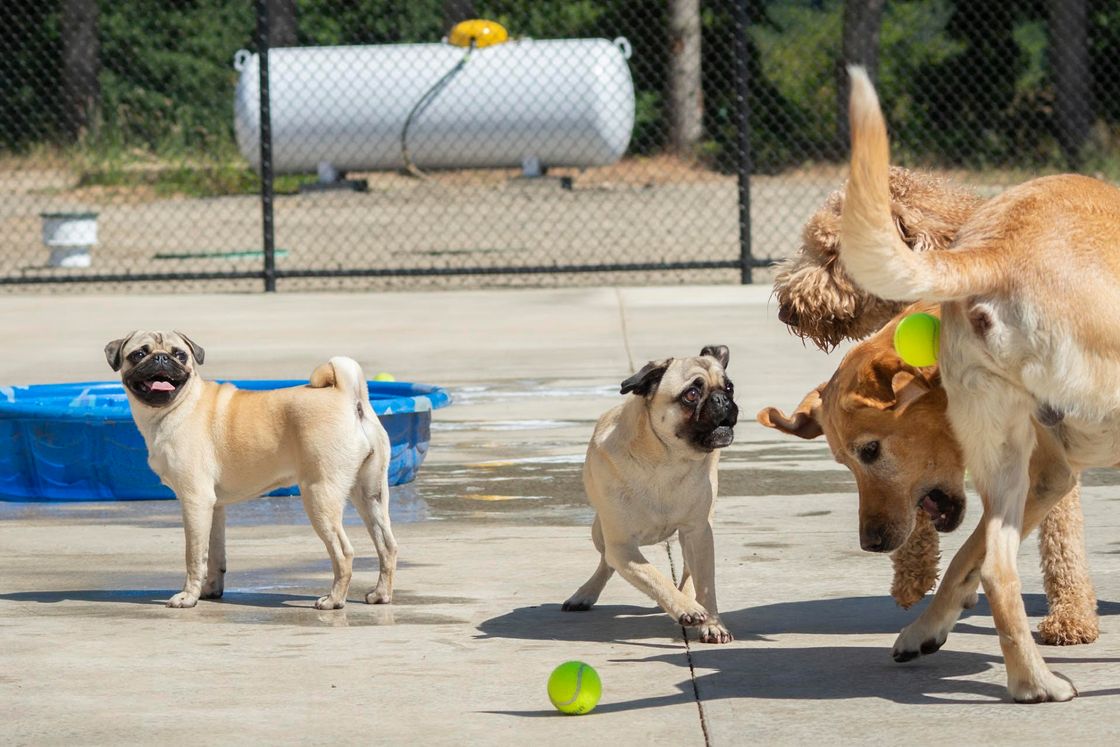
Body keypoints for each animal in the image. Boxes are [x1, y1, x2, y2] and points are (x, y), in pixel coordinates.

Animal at [101, 333, 398, 613]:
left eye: (180, 355)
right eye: (139, 354)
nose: (161, 359)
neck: (177, 406)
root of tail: (348, 396)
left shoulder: (195, 501)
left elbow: (194, 555)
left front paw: (188, 597)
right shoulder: (213, 506)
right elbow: (215, 555)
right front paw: (210, 590)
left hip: (319, 496)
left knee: (343, 552)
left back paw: (334, 600)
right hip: (370, 494)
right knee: (387, 545)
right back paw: (380, 595)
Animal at [564, 344, 739, 645]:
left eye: (729, 387)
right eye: (691, 395)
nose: (722, 400)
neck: (667, 460)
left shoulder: (698, 532)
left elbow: (706, 585)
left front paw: (712, 623)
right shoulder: (622, 546)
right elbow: (654, 576)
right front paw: (686, 609)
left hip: (700, 531)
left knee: (690, 570)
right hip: (600, 532)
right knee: (606, 563)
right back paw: (584, 594)